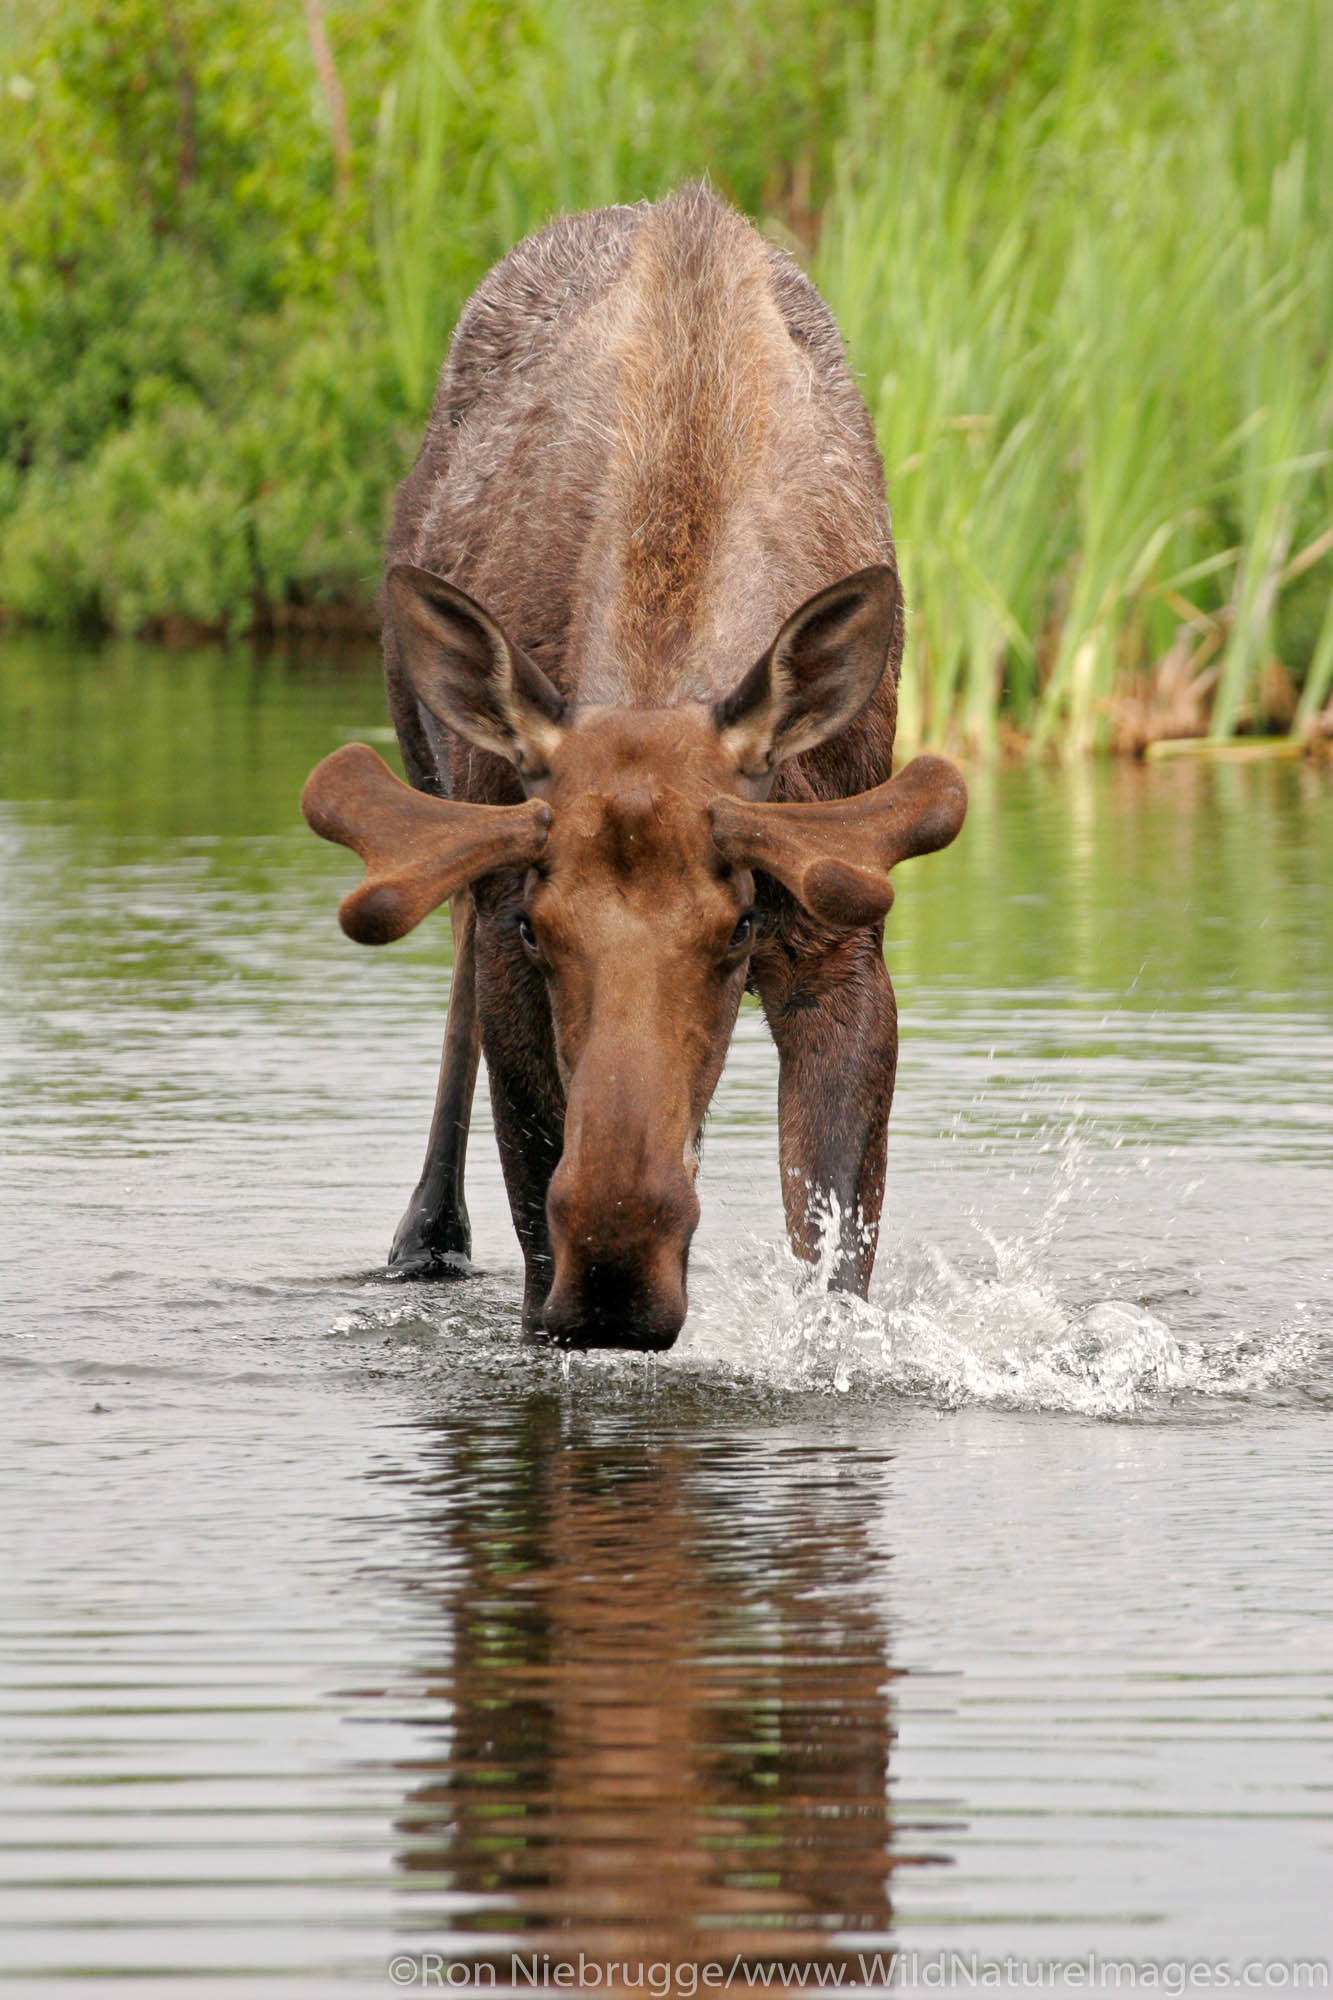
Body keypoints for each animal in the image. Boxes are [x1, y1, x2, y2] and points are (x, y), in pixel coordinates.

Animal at [300, 188, 960, 1352]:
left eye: (738, 925)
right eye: (541, 928)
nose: (617, 1274)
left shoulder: (837, 927)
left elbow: (838, 1256)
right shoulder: (506, 908)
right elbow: (532, 1205)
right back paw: (423, 1236)